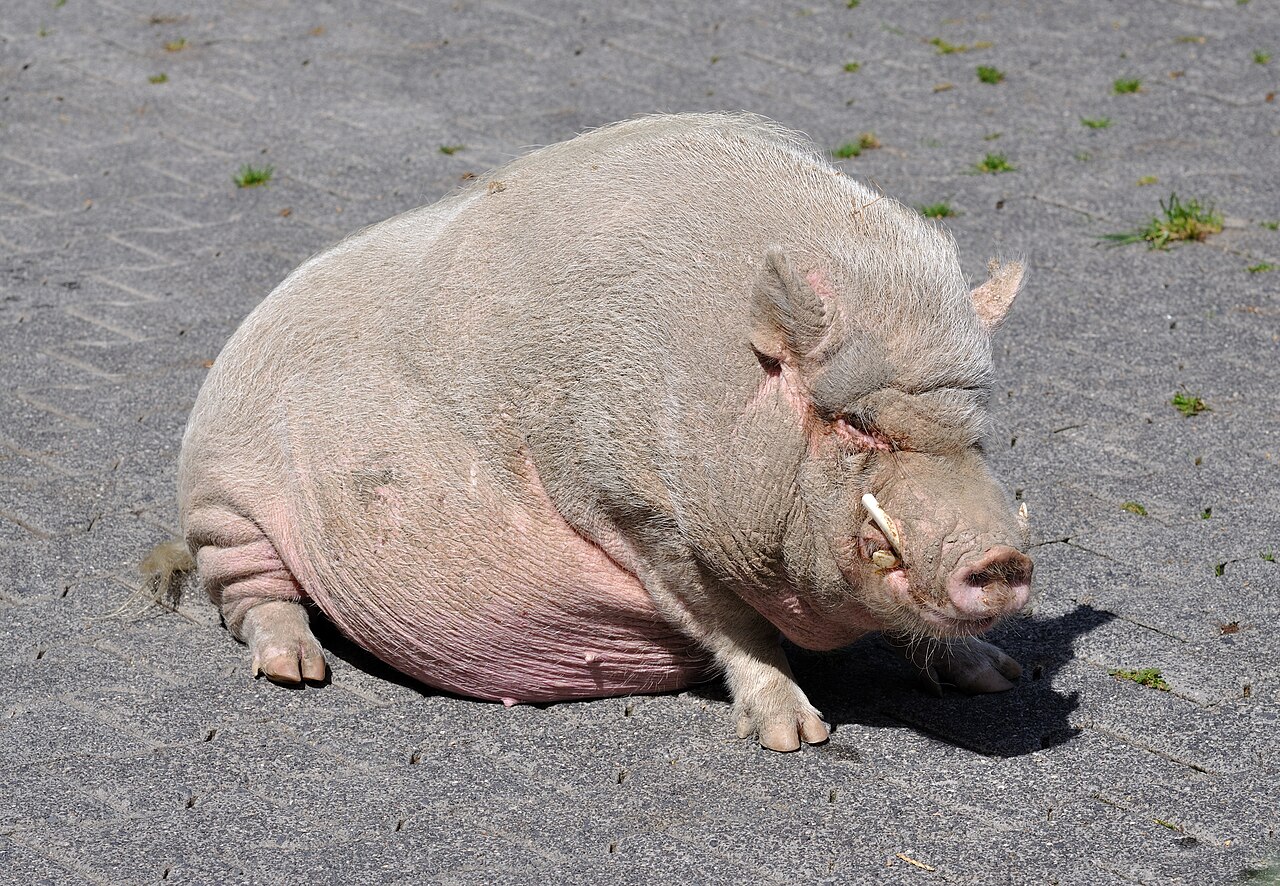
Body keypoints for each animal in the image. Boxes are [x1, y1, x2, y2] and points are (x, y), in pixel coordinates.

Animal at [168, 113, 1032, 752]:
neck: (714, 384)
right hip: (221, 505)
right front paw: (797, 739)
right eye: (854, 423)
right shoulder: (636, 512)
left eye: (975, 427)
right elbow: (739, 630)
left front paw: (1001, 677)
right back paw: (298, 671)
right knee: (250, 596)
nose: (1003, 558)